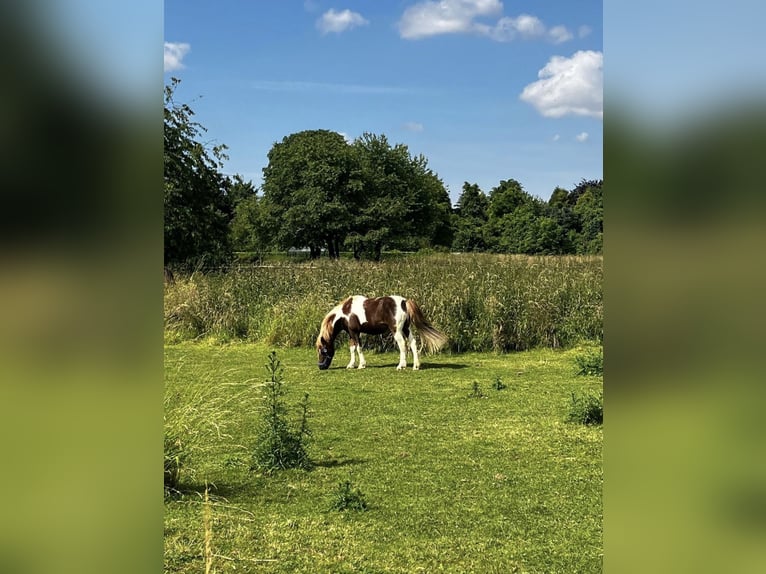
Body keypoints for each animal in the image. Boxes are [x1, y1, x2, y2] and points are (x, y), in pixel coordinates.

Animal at [316, 296, 450, 374]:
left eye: (323, 351)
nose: (321, 367)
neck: (346, 312)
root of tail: (404, 302)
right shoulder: (351, 333)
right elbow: (352, 349)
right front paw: (351, 365)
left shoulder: (355, 333)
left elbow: (359, 348)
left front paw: (361, 365)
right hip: (406, 329)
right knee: (412, 343)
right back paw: (415, 366)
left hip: (397, 330)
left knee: (403, 345)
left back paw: (401, 366)